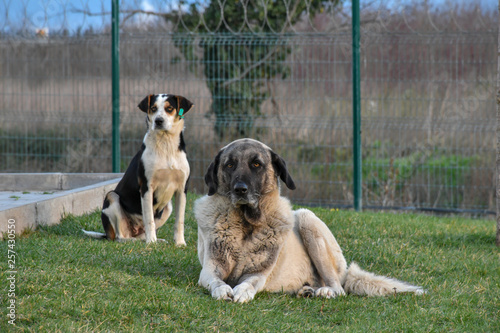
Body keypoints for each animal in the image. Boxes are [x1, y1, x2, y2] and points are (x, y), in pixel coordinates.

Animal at [83, 93, 192, 244]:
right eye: (153, 108)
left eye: (169, 108)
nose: (158, 121)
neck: (166, 145)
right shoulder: (147, 187)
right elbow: (149, 219)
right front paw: (151, 243)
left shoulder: (182, 189)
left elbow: (179, 221)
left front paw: (180, 243)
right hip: (112, 196)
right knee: (121, 237)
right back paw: (141, 241)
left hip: (168, 207)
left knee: (141, 234)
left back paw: (156, 240)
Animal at [195, 137, 426, 300]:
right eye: (229, 165)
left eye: (256, 164)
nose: (240, 189)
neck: (246, 225)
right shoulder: (210, 270)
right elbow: (217, 281)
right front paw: (223, 290)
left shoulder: (259, 273)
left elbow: (248, 283)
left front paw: (241, 291)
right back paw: (306, 291)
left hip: (307, 219)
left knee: (339, 289)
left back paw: (324, 292)